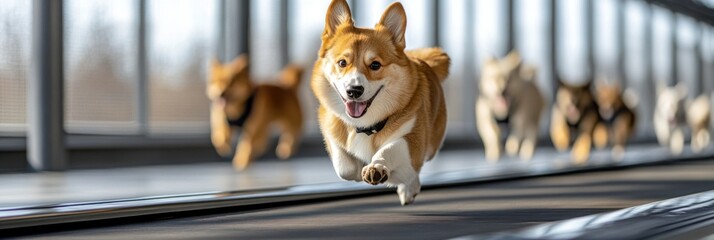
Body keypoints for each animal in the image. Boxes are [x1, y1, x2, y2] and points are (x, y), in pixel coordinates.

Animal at [308, 0, 448, 206]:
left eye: (375, 65)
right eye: (342, 63)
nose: (354, 91)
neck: (365, 126)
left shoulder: (412, 141)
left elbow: (389, 149)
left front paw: (377, 168)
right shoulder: (330, 128)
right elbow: (345, 166)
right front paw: (359, 168)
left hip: (430, 147)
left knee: (412, 173)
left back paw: (408, 188)